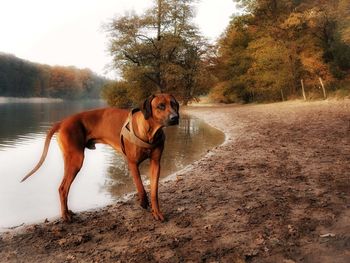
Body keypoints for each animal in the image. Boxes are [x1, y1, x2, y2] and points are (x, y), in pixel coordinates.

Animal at [21, 94, 180, 223]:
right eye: (161, 106)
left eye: (174, 104)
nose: (175, 118)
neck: (149, 132)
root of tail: (63, 122)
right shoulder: (132, 163)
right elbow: (140, 185)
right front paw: (143, 201)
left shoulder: (156, 163)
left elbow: (154, 191)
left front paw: (156, 212)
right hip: (76, 160)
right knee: (62, 188)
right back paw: (65, 215)